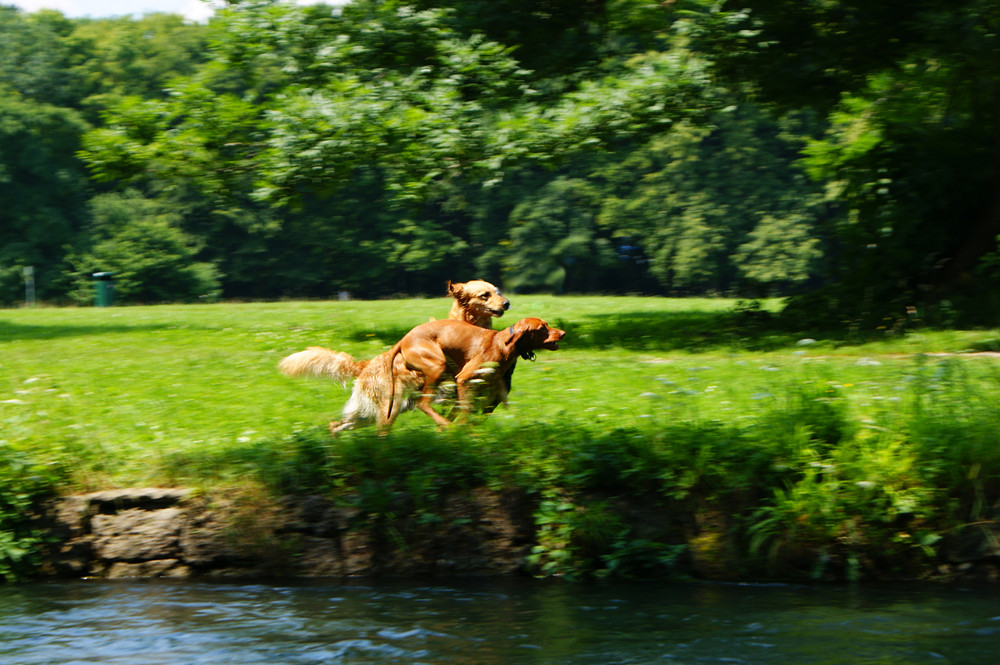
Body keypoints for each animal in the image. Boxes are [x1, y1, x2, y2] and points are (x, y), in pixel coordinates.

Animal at [280, 278, 508, 434]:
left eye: (496, 291)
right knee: (378, 432)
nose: (506, 303)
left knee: (335, 425)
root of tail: (365, 366)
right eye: (484, 295)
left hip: (366, 414)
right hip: (389, 408)